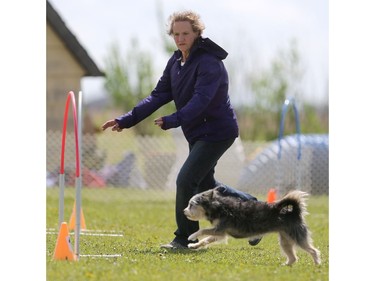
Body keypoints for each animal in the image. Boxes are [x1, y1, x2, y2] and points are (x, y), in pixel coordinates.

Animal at [184, 186, 322, 264]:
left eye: (191, 205)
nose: (184, 211)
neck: (218, 205)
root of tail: (294, 212)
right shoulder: (220, 233)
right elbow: (205, 240)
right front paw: (194, 245)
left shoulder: (220, 229)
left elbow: (203, 230)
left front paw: (192, 236)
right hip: (285, 240)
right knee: (293, 258)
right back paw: (285, 266)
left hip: (297, 237)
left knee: (314, 251)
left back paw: (317, 264)